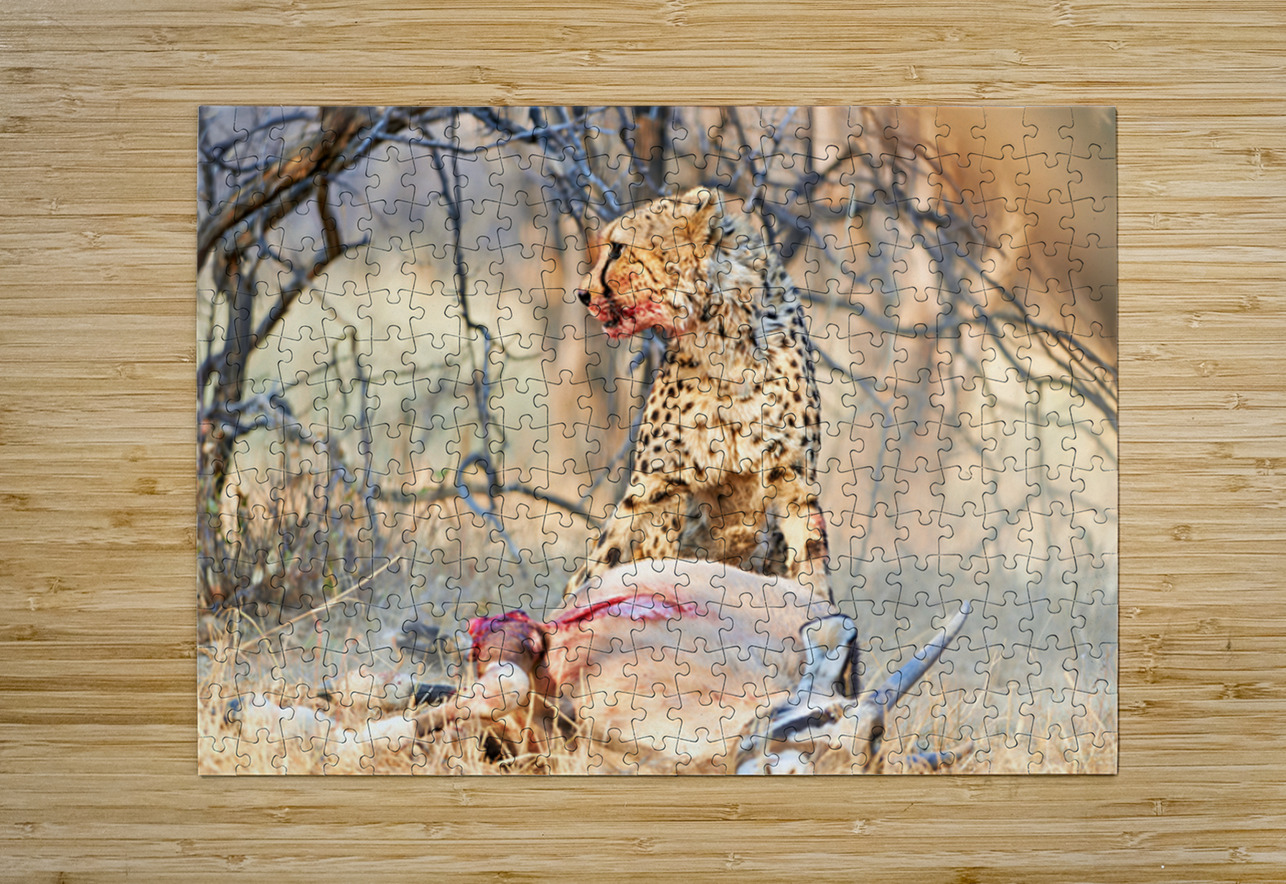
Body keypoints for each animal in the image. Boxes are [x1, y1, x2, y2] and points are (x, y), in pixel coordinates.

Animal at [566, 187, 830, 603]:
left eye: (618, 248)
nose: (582, 293)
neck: (725, 339)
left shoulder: (792, 476)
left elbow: (811, 558)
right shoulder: (661, 484)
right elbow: (657, 558)